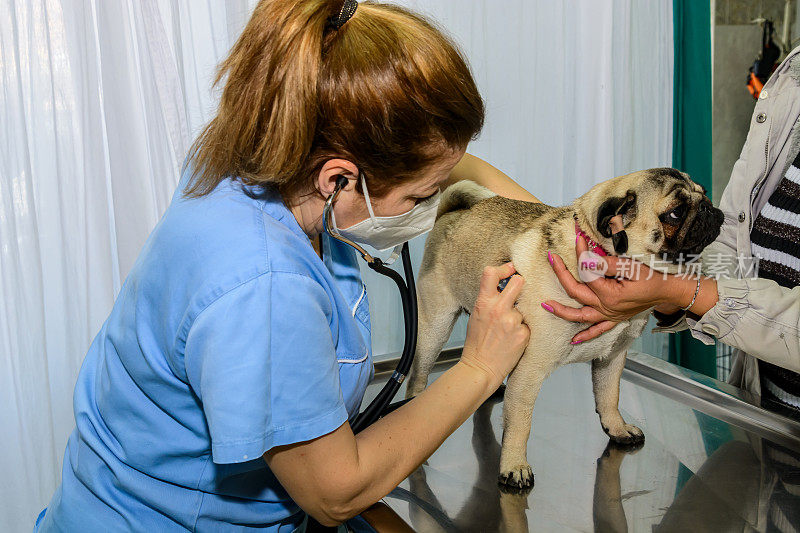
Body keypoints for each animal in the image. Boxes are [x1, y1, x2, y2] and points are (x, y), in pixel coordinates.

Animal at [406, 168, 724, 488]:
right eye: (675, 212)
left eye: (704, 191)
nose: (709, 208)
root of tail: (450, 212)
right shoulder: (530, 369)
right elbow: (520, 423)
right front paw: (514, 465)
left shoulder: (612, 358)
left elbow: (609, 397)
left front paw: (617, 428)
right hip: (436, 325)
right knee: (419, 373)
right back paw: (415, 401)